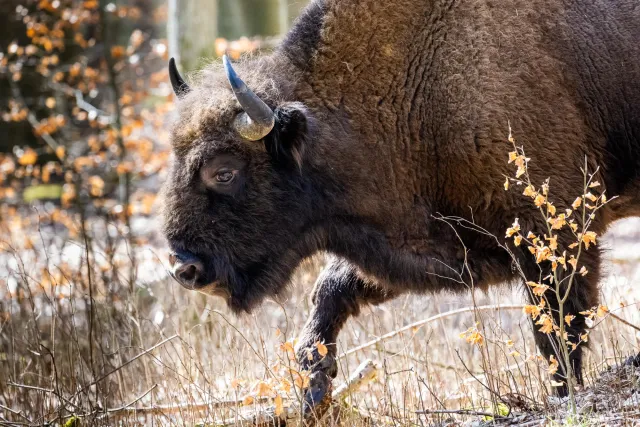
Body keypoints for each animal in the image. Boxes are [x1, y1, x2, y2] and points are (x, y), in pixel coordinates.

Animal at [162, 0, 640, 406]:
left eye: (223, 171)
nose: (184, 268)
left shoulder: (555, 237)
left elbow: (559, 331)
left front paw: (566, 397)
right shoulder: (419, 242)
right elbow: (332, 289)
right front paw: (314, 385)